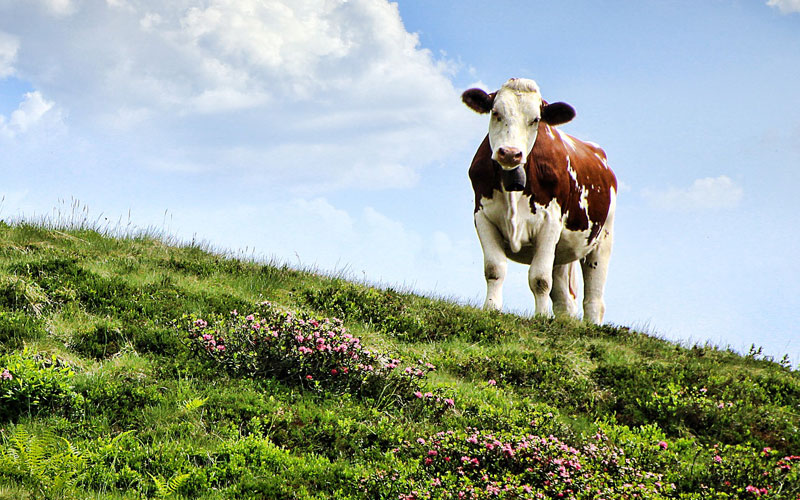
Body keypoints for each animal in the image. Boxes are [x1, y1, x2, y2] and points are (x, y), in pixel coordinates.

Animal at [460, 76, 616, 322]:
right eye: (495, 112)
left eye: (535, 120)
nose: (510, 153)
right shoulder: (483, 217)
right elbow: (494, 269)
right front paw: (492, 307)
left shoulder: (550, 223)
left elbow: (540, 279)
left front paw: (541, 317)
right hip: (562, 252)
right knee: (564, 298)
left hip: (602, 239)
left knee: (594, 299)